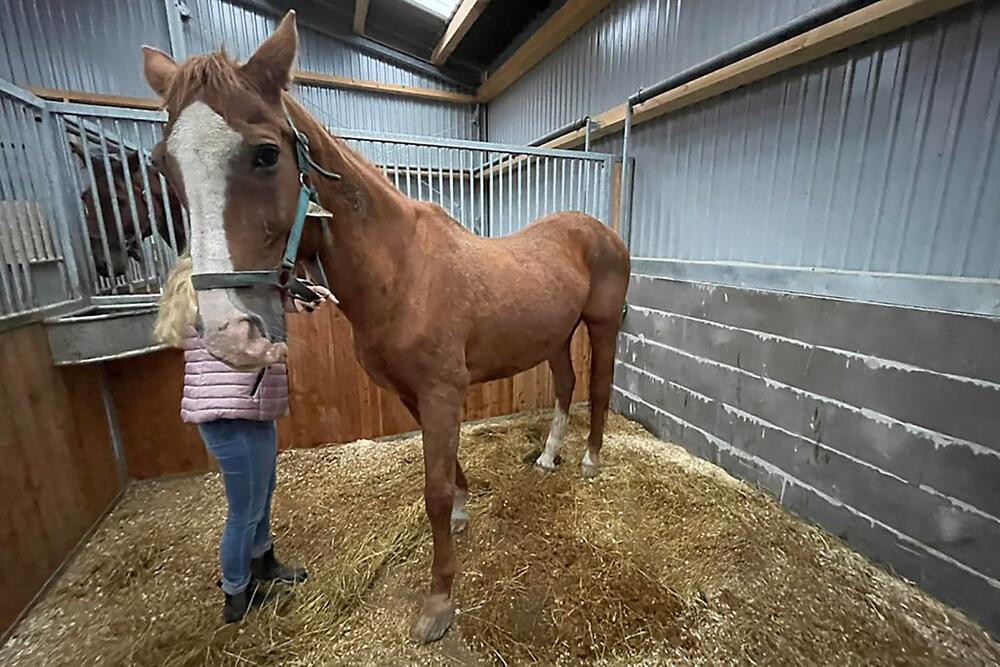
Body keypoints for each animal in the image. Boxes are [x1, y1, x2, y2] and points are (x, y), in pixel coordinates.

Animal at [143, 13, 624, 644]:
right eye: (164, 164)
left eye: (266, 155)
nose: (227, 331)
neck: (402, 269)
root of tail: (598, 229)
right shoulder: (413, 393)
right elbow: (446, 473)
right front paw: (466, 514)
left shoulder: (443, 392)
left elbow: (434, 491)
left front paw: (439, 603)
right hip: (556, 335)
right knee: (567, 386)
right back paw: (548, 458)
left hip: (602, 326)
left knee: (598, 387)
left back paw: (590, 462)